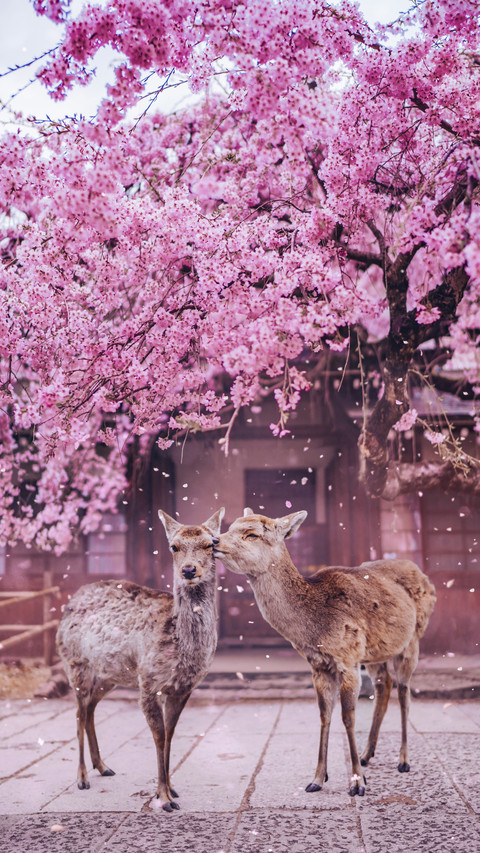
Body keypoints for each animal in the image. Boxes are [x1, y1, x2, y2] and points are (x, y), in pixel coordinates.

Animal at [56, 507, 224, 812]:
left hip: (109, 675)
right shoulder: (148, 681)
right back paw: (82, 777)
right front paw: (164, 798)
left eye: (211, 544)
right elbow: (158, 736)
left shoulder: (183, 688)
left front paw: (172, 789)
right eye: (174, 546)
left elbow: (171, 734)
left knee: (90, 709)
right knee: (77, 713)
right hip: (75, 664)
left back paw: (103, 766)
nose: (189, 569)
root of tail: (71, 600)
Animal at [214, 508, 436, 797]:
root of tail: (423, 574)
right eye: (230, 526)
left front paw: (357, 783)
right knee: (384, 686)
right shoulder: (318, 664)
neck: (315, 629)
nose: (214, 540)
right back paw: (367, 754)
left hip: (412, 641)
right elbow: (324, 715)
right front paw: (318, 779)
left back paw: (403, 760)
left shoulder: (348, 658)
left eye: (252, 534)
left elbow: (348, 717)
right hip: (375, 652)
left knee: (405, 692)